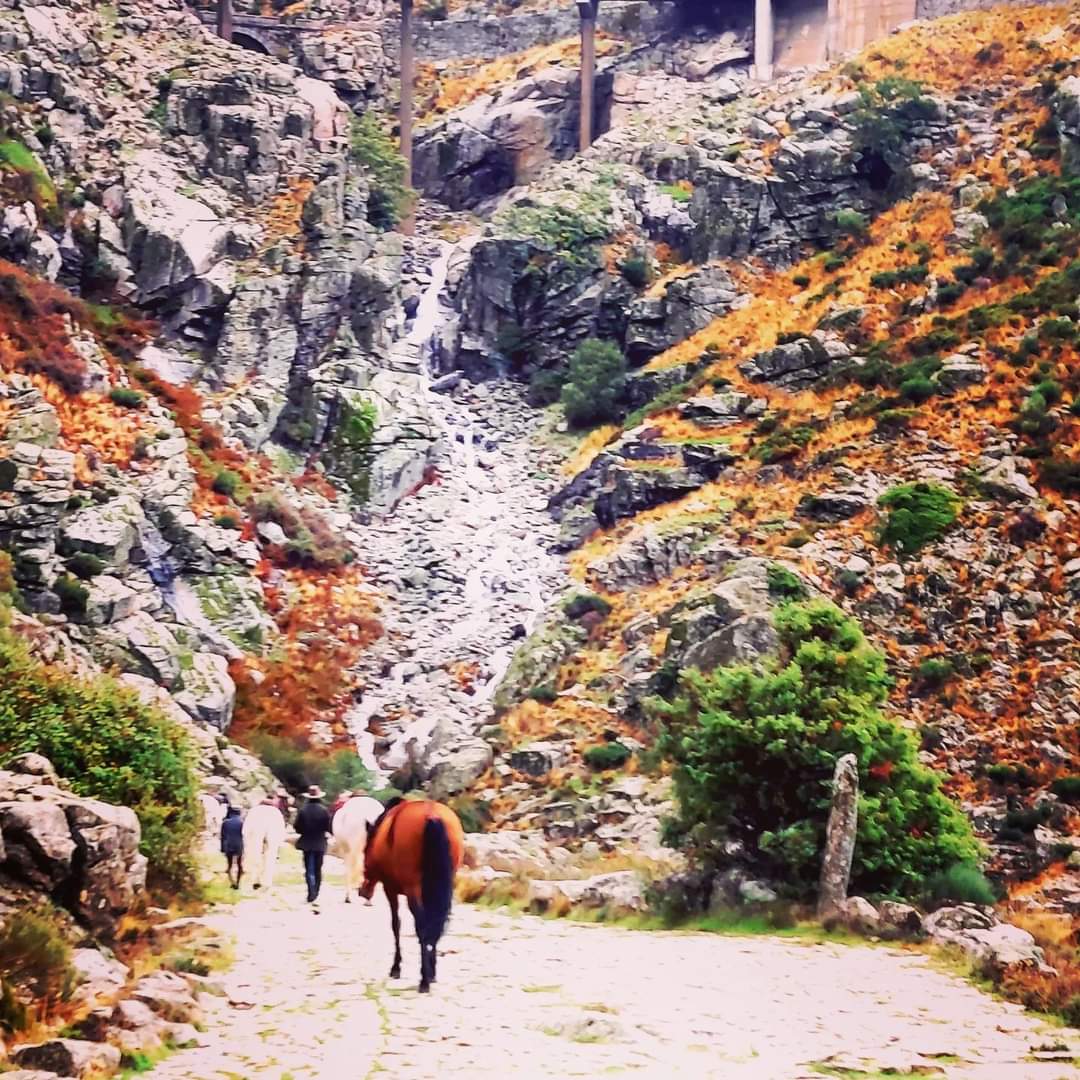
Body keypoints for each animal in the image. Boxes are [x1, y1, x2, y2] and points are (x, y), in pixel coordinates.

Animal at [360, 799, 464, 993]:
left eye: (364, 851)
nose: (362, 891)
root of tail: (432, 816)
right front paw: (432, 971)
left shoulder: (390, 889)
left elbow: (396, 925)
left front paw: (396, 968)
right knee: (435, 923)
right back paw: (430, 975)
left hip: (412, 889)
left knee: (422, 926)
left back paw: (423, 981)